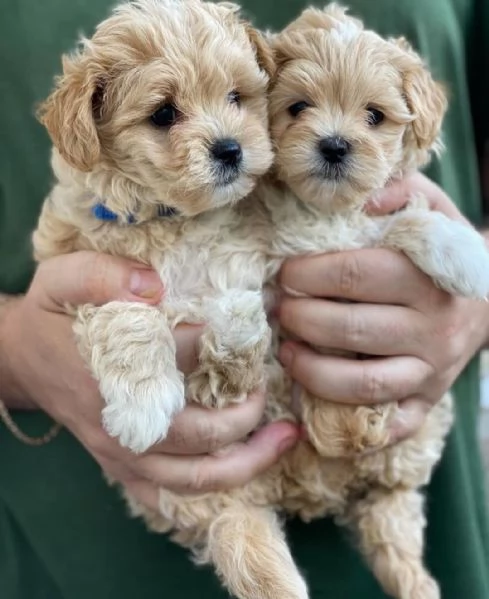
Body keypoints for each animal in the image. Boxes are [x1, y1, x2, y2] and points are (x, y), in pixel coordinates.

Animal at [254, 4, 488, 599]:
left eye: (375, 116)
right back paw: (343, 425)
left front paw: (466, 255)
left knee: (392, 526)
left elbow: (405, 220)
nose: (335, 145)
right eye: (298, 107)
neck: (330, 211)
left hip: (404, 462)